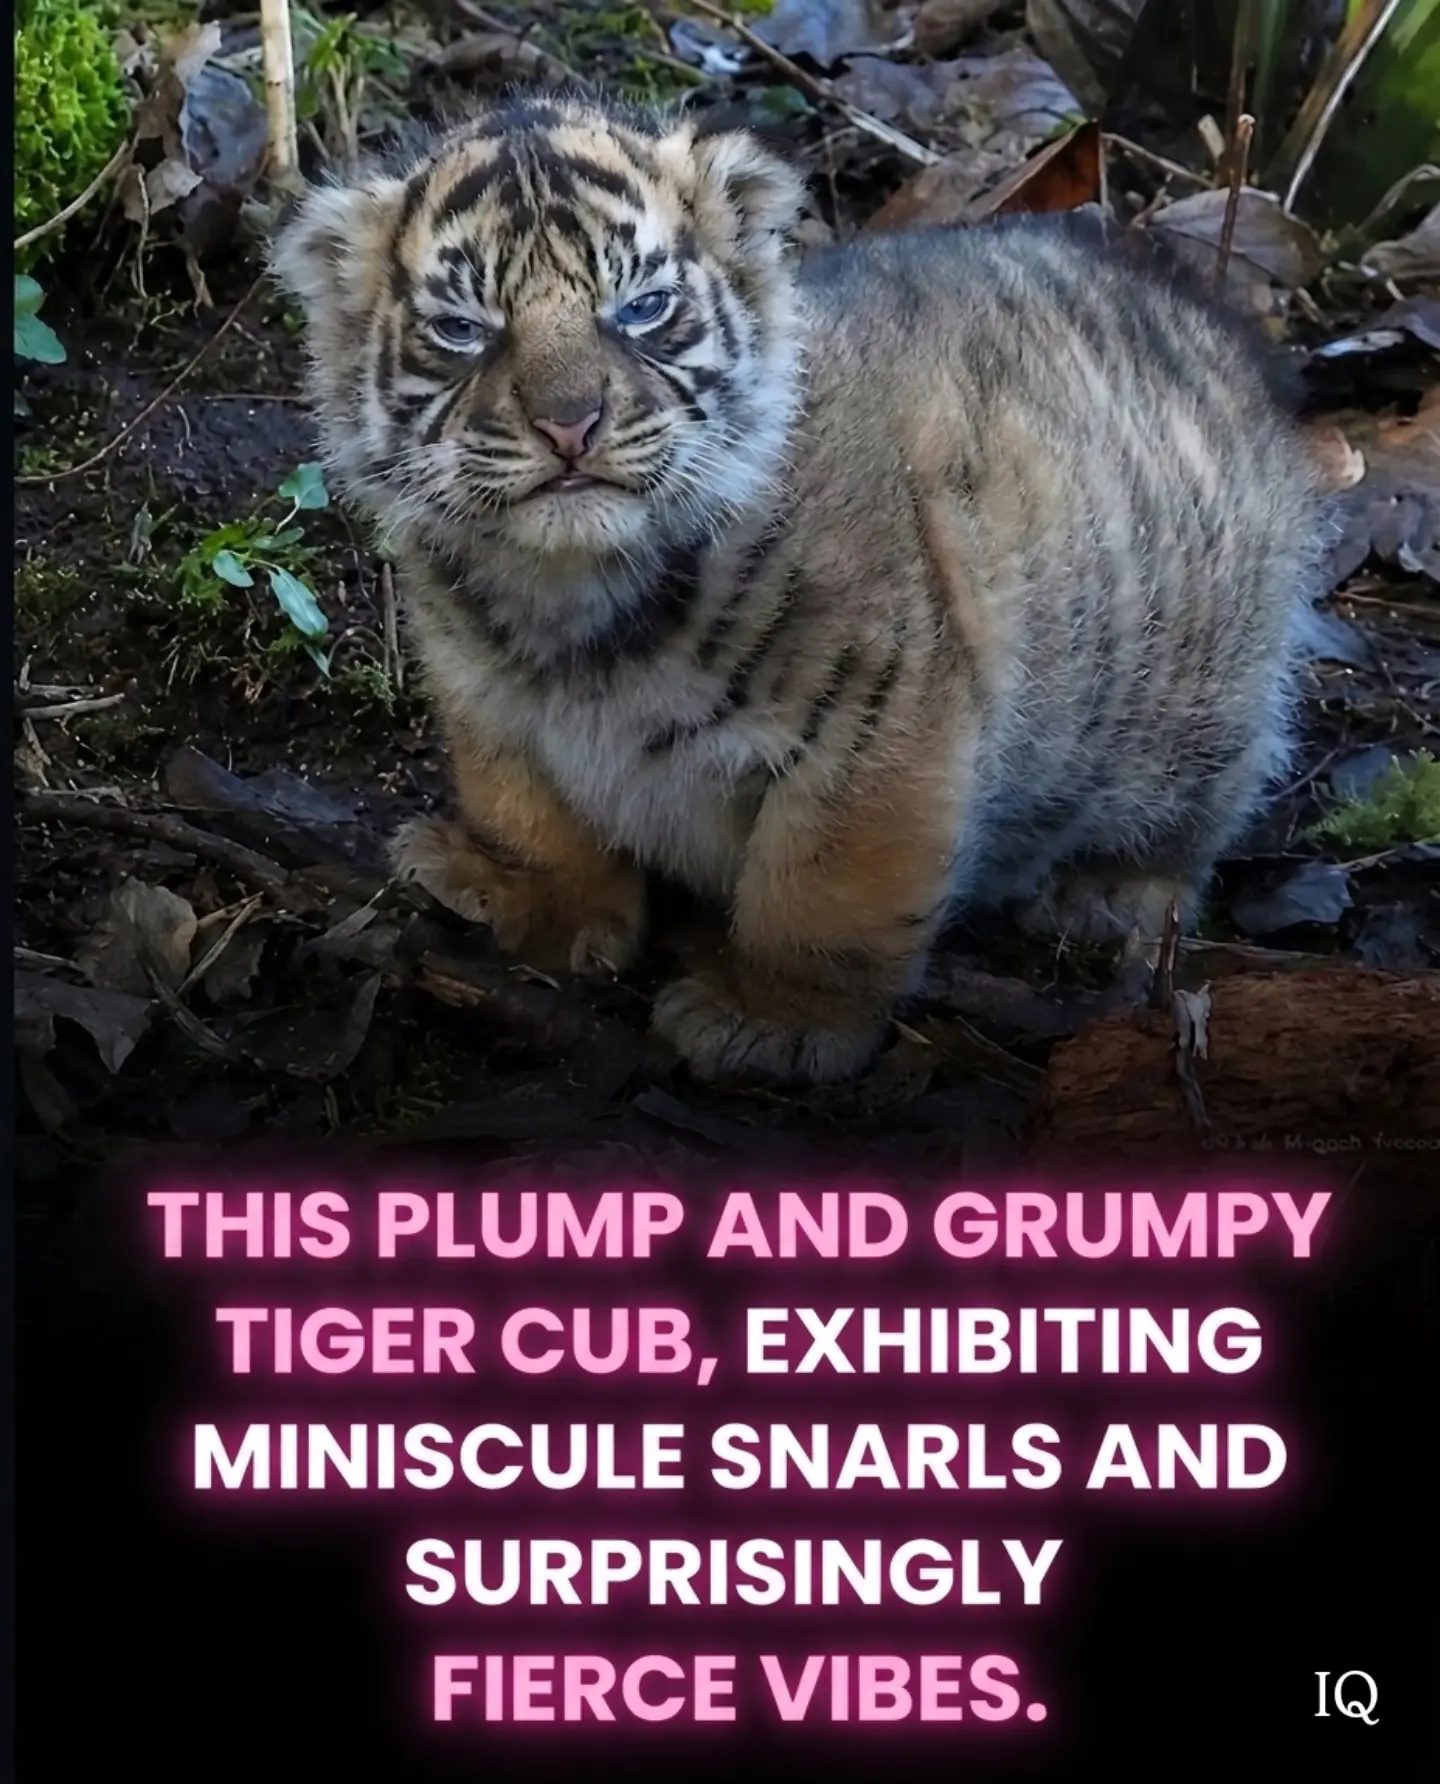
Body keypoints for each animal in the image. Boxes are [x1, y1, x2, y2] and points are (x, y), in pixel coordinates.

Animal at [271, 91, 1330, 1087]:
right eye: (463, 330)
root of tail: (1206, 318)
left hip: (1195, 699)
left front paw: (773, 1024)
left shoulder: (880, 728)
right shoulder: (488, 704)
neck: (568, 601)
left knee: (1190, 820)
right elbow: (532, 816)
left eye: (643, 308)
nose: (570, 424)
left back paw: (1107, 897)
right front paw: (531, 903)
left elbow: (822, 892)